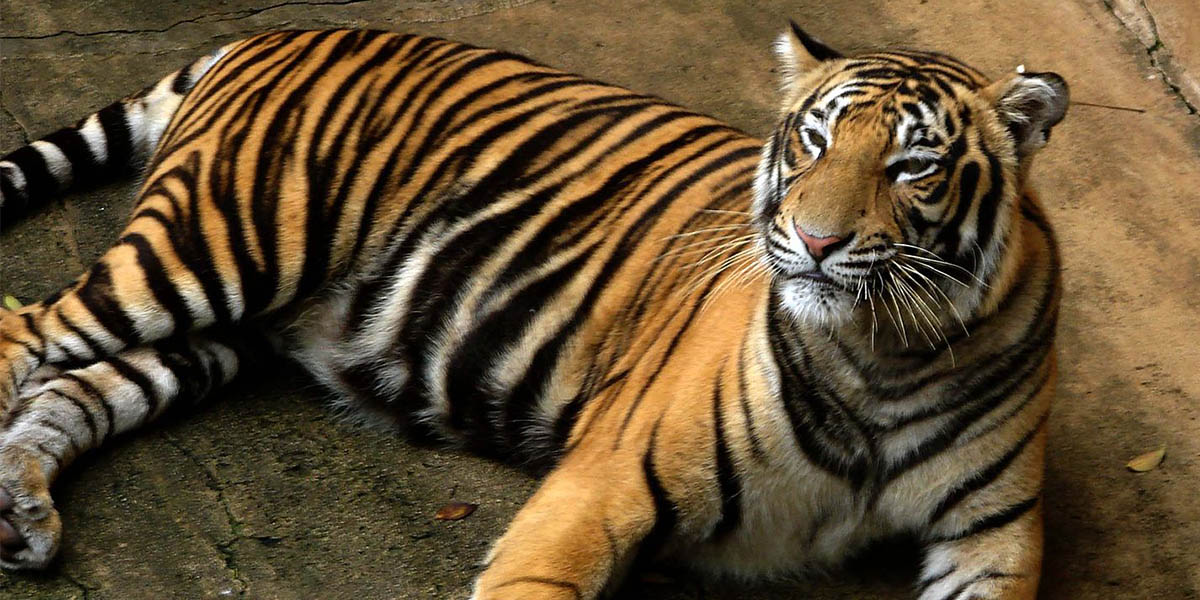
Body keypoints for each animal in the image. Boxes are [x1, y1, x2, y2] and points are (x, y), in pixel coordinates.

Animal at [0, 21, 1066, 600]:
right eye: (813, 142)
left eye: (913, 166)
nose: (812, 240)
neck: (884, 353)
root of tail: (265, 35)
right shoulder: (606, 477)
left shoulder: (994, 534)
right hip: (214, 253)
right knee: (26, 335)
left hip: (224, 332)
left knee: (72, 390)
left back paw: (21, 513)